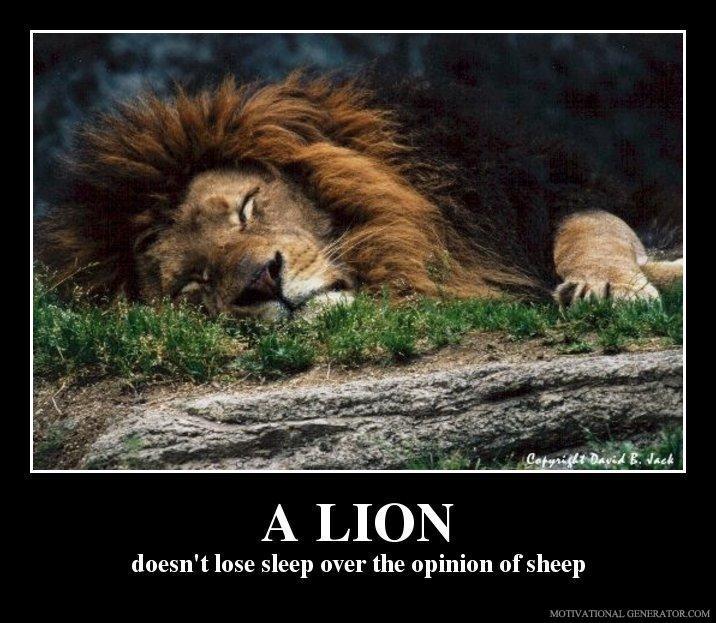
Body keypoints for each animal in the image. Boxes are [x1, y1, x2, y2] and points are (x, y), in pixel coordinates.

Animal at [37, 72, 683, 320]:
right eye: (193, 284)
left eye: (247, 207)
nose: (261, 281)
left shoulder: (545, 189)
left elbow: (591, 227)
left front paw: (607, 285)